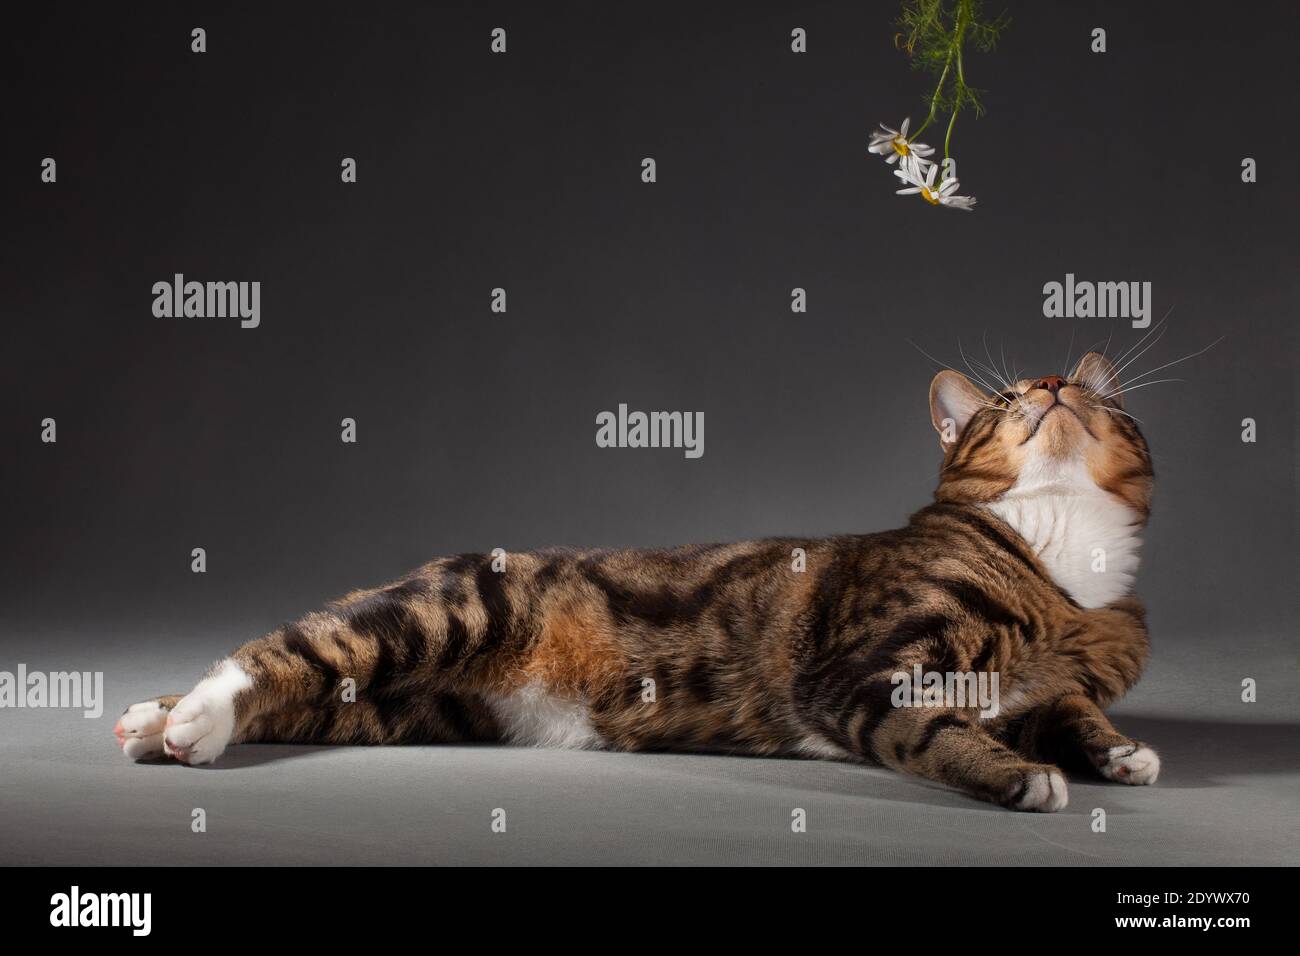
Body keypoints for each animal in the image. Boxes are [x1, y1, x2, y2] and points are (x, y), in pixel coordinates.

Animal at [119, 356, 1159, 811]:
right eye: (1005, 399)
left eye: (1087, 390)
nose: (1053, 381)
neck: (1068, 569)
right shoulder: (865, 675)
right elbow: (936, 729)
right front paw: (1022, 779)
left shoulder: (1043, 685)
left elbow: (1068, 708)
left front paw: (1119, 754)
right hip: (448, 611)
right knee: (290, 647)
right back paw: (193, 718)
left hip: (412, 707)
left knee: (316, 682)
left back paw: (150, 720)